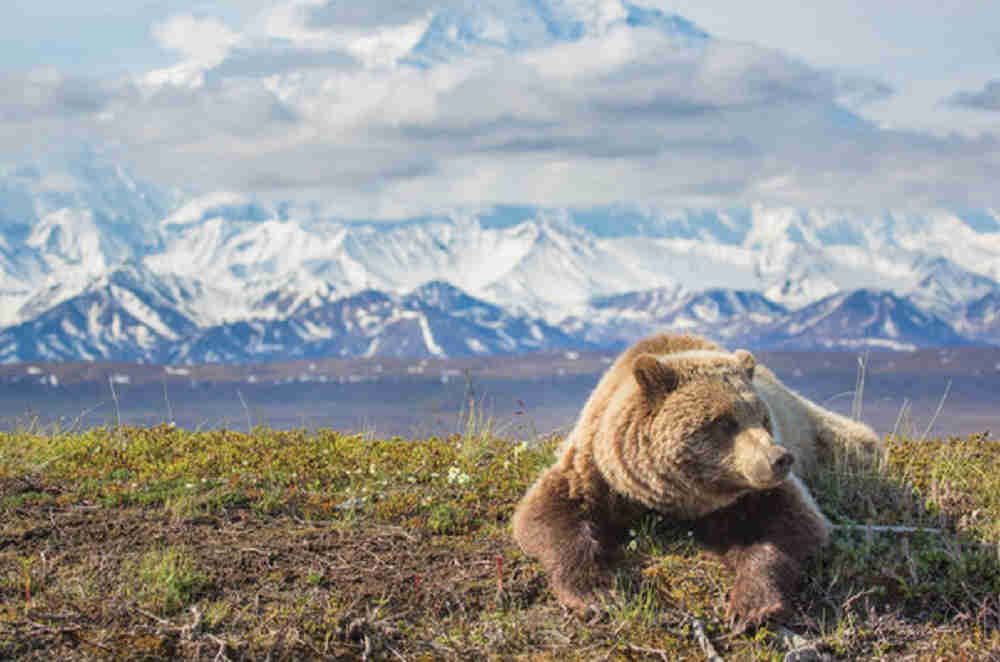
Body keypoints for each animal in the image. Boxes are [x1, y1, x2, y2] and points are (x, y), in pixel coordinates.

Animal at [512, 334, 880, 632]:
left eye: (762, 417)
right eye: (725, 422)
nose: (780, 458)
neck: (676, 496)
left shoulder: (752, 495)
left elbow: (793, 524)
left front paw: (749, 607)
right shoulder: (600, 473)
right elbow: (551, 512)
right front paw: (598, 595)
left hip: (825, 435)